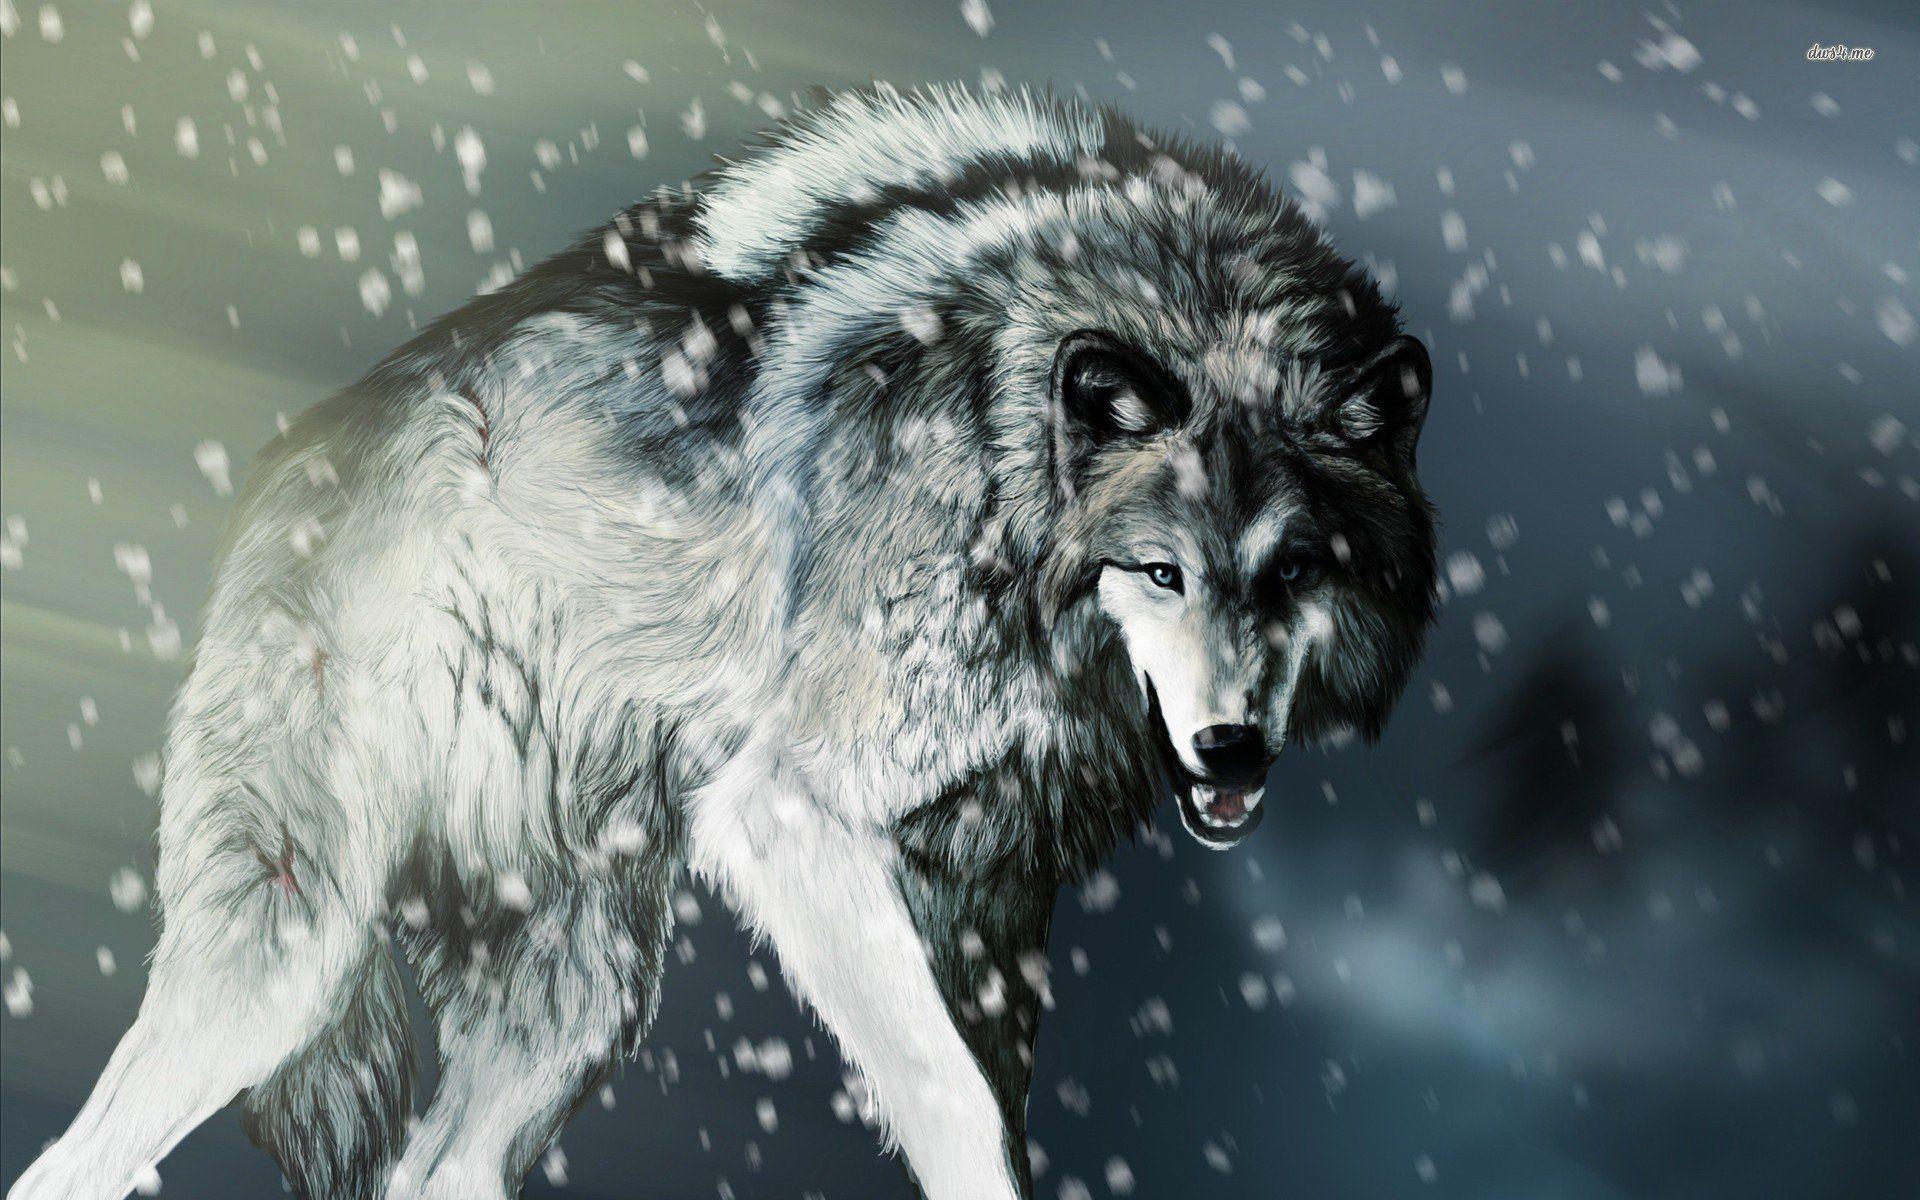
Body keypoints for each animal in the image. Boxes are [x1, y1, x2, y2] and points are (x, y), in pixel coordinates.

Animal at [10, 84, 1437, 1200]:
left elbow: (997, 1111)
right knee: (73, 1156)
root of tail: (288, 462)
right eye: (1160, 571)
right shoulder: (789, 816)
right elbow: (950, 1102)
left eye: (1294, 570)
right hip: (288, 958)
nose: (1231, 745)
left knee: (439, 1164)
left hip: (577, 1000)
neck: (1004, 470)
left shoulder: (990, 905)